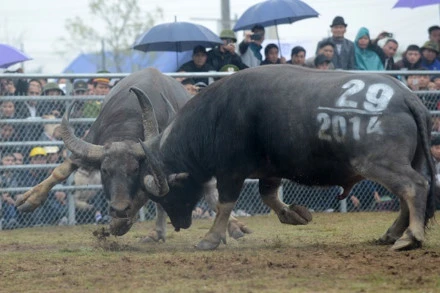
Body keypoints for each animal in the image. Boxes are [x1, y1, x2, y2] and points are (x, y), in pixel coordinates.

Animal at [16, 68, 251, 240]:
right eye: (105, 170)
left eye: (135, 170)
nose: (119, 209)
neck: (129, 115)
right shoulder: (90, 143)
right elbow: (61, 170)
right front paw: (29, 200)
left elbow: (144, 196)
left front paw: (119, 224)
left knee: (208, 192)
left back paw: (233, 227)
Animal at [132, 65, 438, 250]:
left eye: (167, 196)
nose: (180, 224)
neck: (215, 115)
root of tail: (408, 98)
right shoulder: (269, 171)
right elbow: (269, 196)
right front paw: (295, 214)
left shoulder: (231, 172)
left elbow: (224, 204)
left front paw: (210, 239)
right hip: (406, 161)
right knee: (407, 195)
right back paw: (391, 234)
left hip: (379, 163)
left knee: (415, 187)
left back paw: (411, 237)